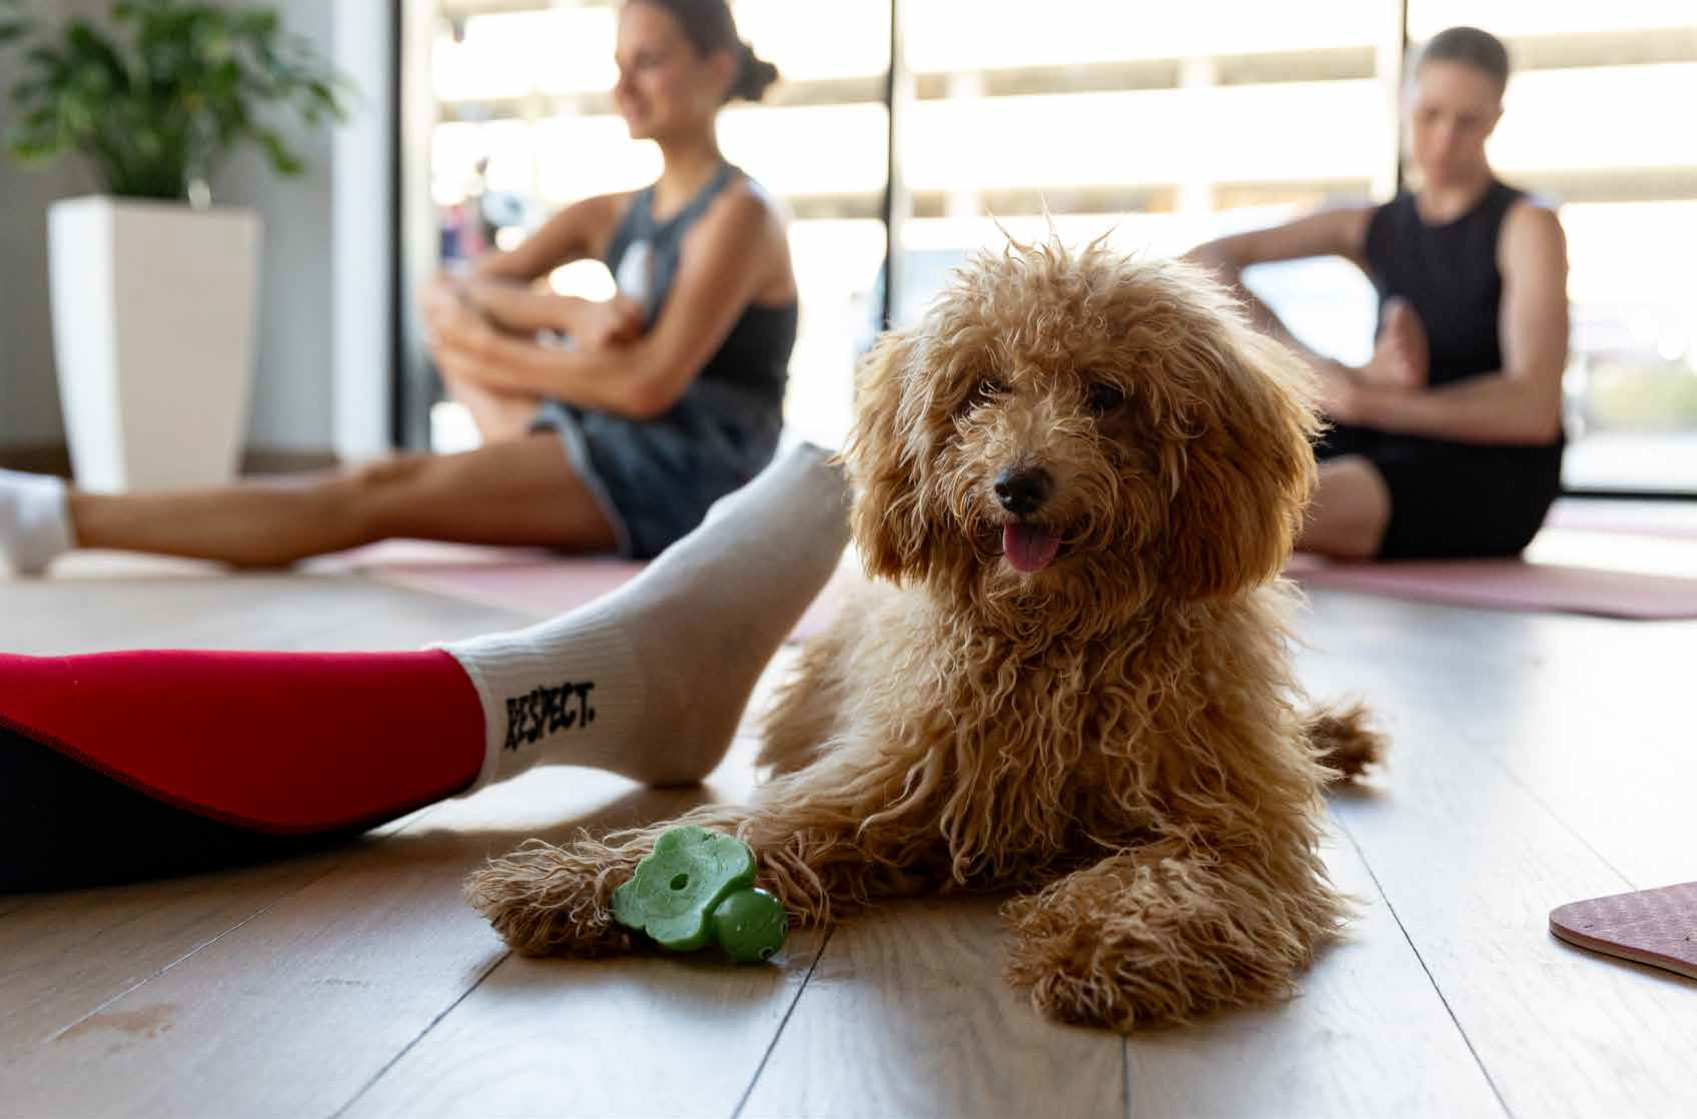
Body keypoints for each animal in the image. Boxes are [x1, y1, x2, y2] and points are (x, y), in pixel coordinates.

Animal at [466, 238, 1383, 1031]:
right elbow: (751, 828)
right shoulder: (890, 775)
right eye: (985, 388)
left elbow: (1169, 871)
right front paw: (579, 879)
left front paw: (1102, 937)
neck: (1059, 640)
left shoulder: (1237, 827)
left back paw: (1332, 734)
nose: (1018, 483)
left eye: (1106, 394)